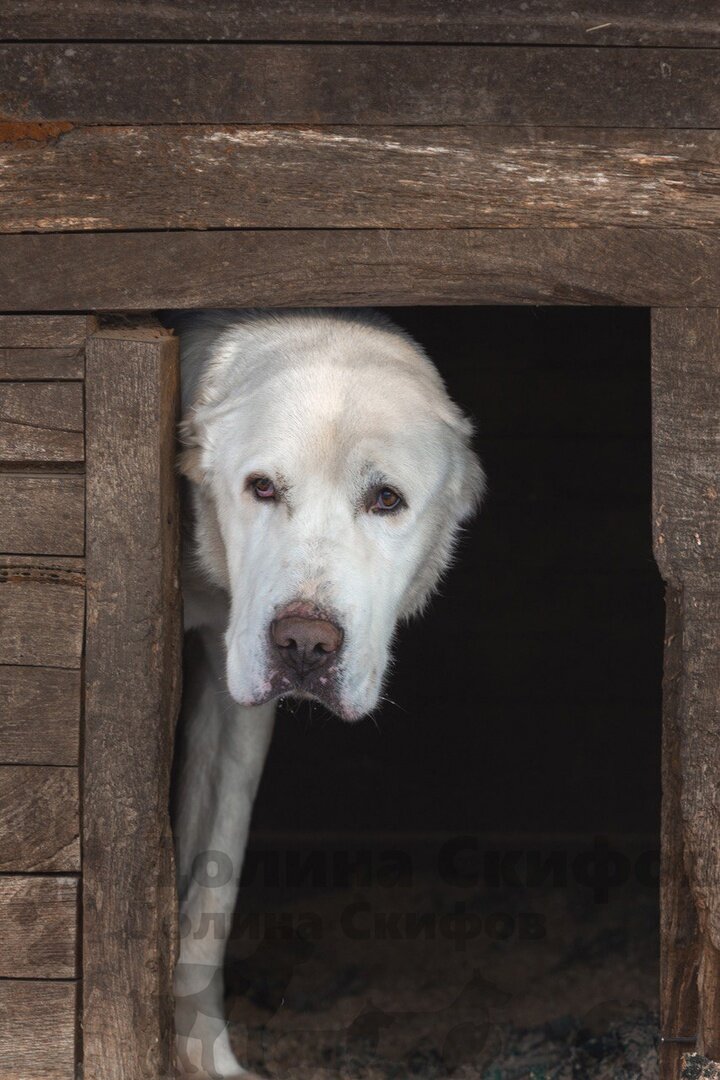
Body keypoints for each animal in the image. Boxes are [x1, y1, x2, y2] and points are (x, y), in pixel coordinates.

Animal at [169, 308, 483, 1075]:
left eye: (386, 499)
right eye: (261, 487)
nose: (305, 645)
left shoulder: (236, 709)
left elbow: (212, 883)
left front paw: (204, 1054)